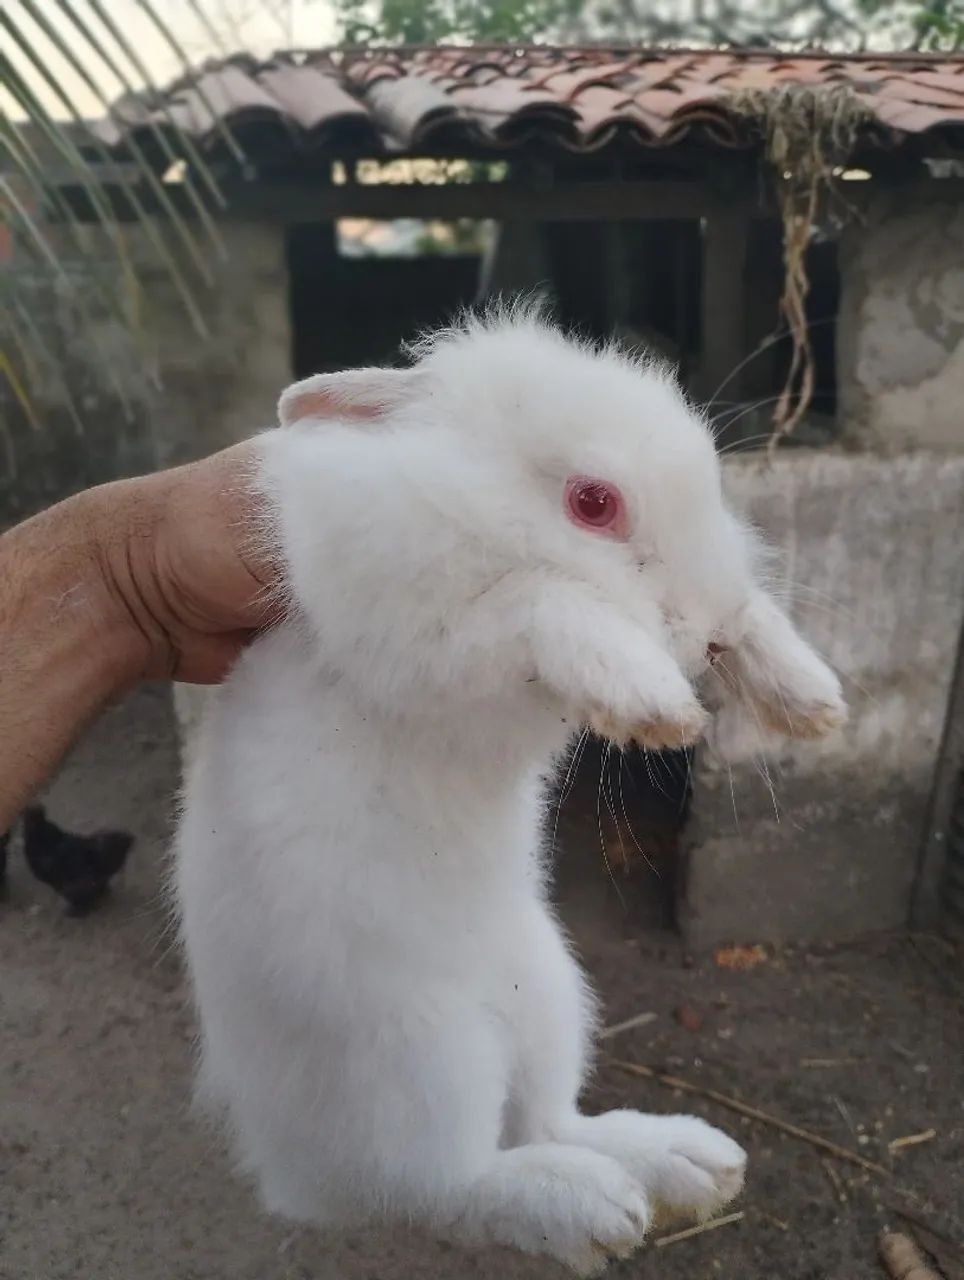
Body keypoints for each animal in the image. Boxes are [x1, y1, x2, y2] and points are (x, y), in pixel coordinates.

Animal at [174, 304, 846, 1275]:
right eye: (593, 503)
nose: (705, 634)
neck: (474, 515)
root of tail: (285, 1167)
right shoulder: (434, 641)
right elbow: (538, 600)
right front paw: (651, 697)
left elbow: (756, 612)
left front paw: (811, 698)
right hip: (422, 1061)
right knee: (445, 1184)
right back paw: (594, 1209)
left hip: (553, 996)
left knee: (547, 1118)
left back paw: (685, 1163)